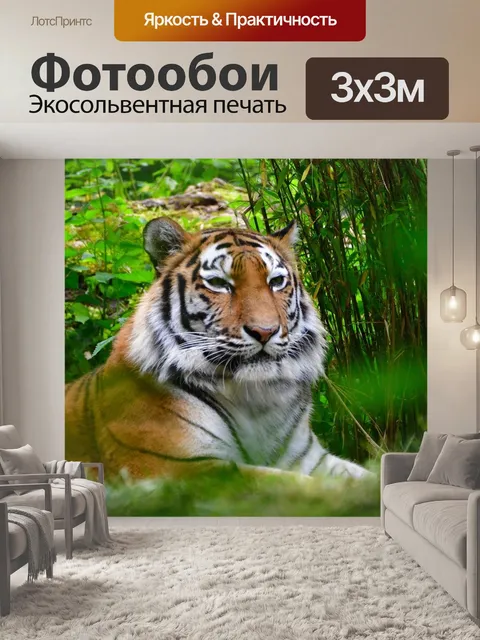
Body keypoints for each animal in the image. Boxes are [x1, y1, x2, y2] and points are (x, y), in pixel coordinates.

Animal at [65, 217, 368, 481]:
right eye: (219, 284)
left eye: (276, 282)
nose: (265, 331)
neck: (257, 399)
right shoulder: (179, 468)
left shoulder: (309, 458)